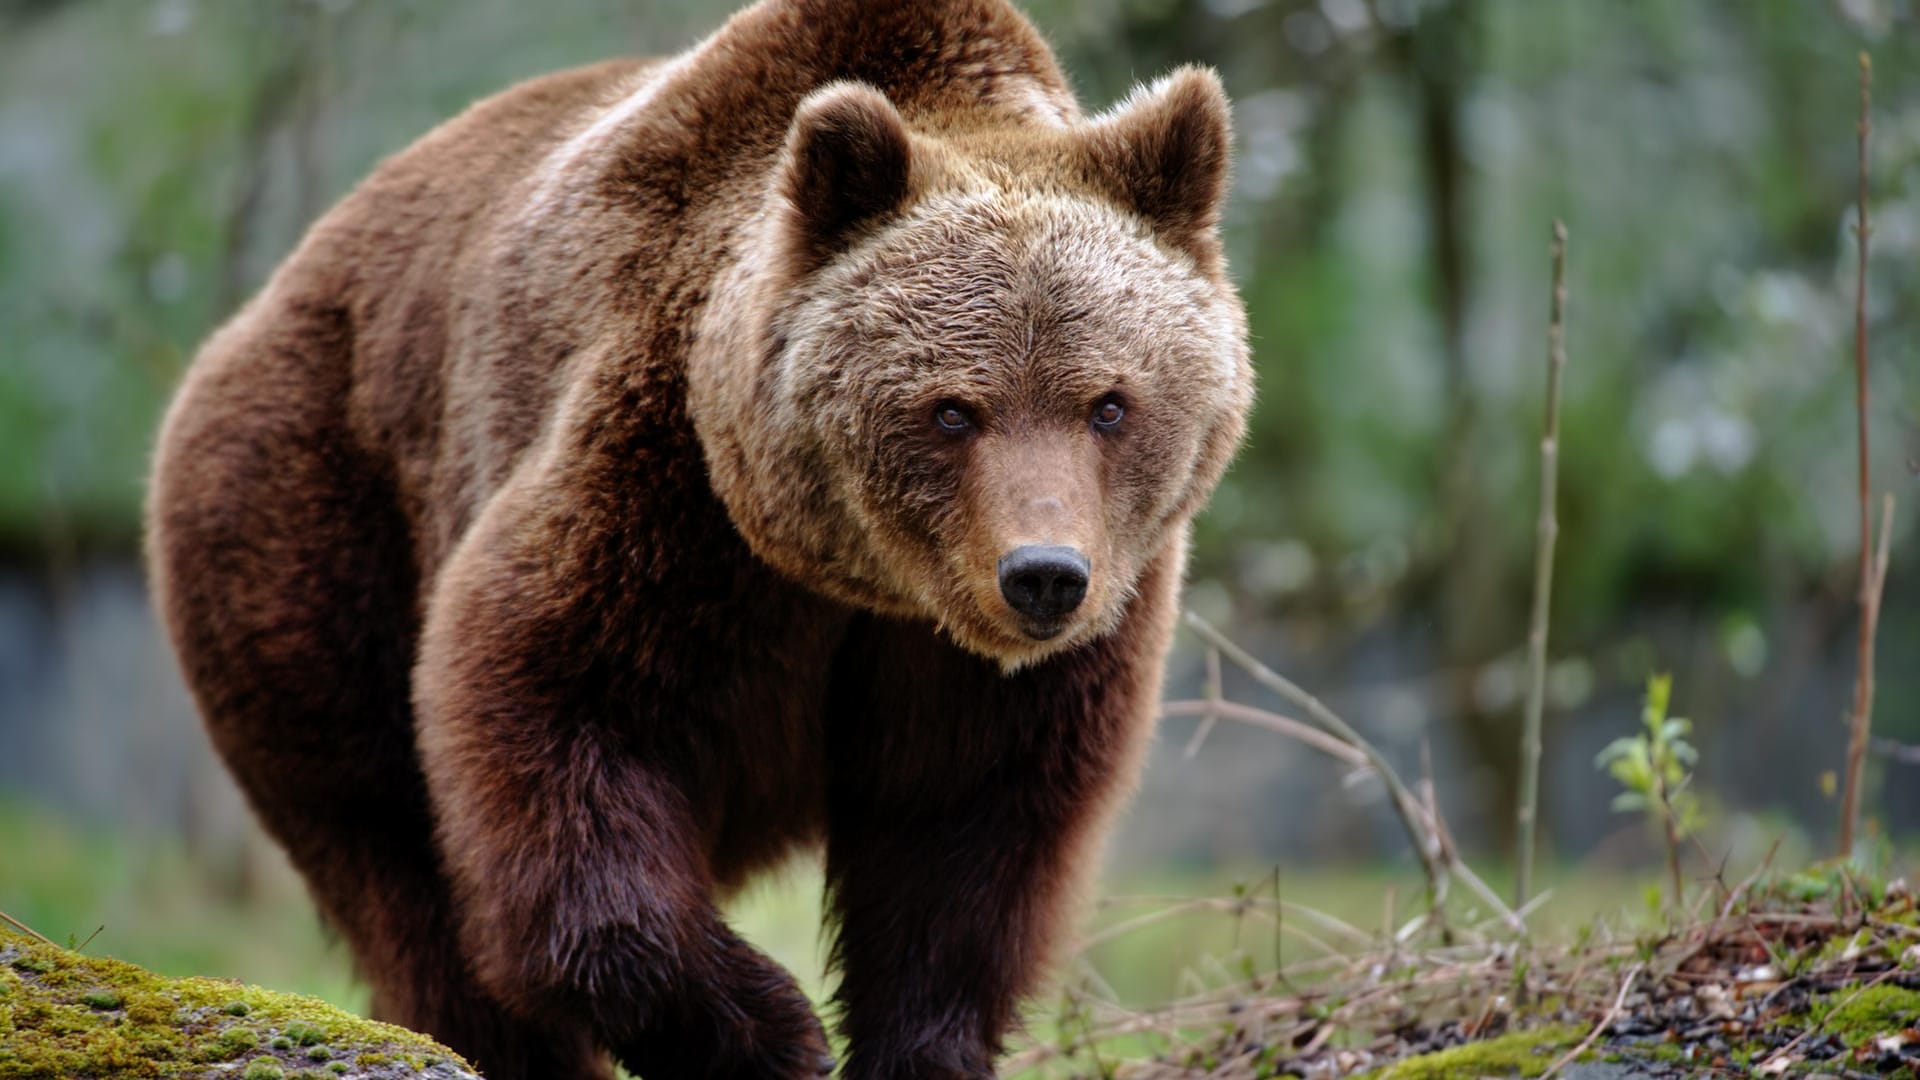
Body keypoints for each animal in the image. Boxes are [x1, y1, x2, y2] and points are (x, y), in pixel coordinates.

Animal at [153, 2, 1259, 1076]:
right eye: (952, 410)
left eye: (1109, 404)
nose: (1042, 577)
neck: (859, 580)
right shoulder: (666, 490)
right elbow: (556, 711)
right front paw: (770, 1030)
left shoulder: (1010, 652)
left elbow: (966, 830)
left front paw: (917, 1045)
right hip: (312, 519)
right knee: (391, 846)